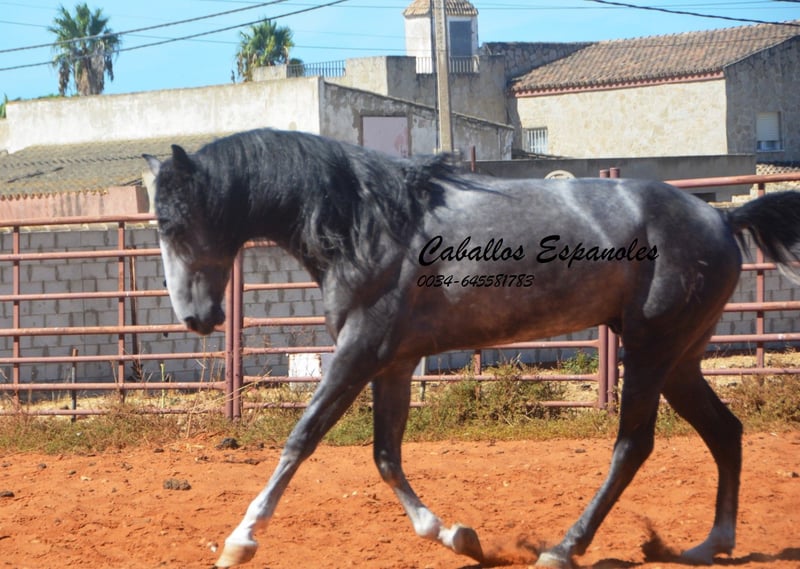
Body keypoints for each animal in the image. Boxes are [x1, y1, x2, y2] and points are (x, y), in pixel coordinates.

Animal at [143, 128, 800, 568]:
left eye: (173, 224)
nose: (198, 319)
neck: (367, 223)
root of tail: (724, 217)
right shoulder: (395, 363)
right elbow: (386, 456)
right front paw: (455, 535)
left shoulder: (360, 351)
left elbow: (301, 439)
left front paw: (240, 540)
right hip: (680, 358)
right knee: (725, 432)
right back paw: (711, 543)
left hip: (650, 349)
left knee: (633, 446)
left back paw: (565, 548)